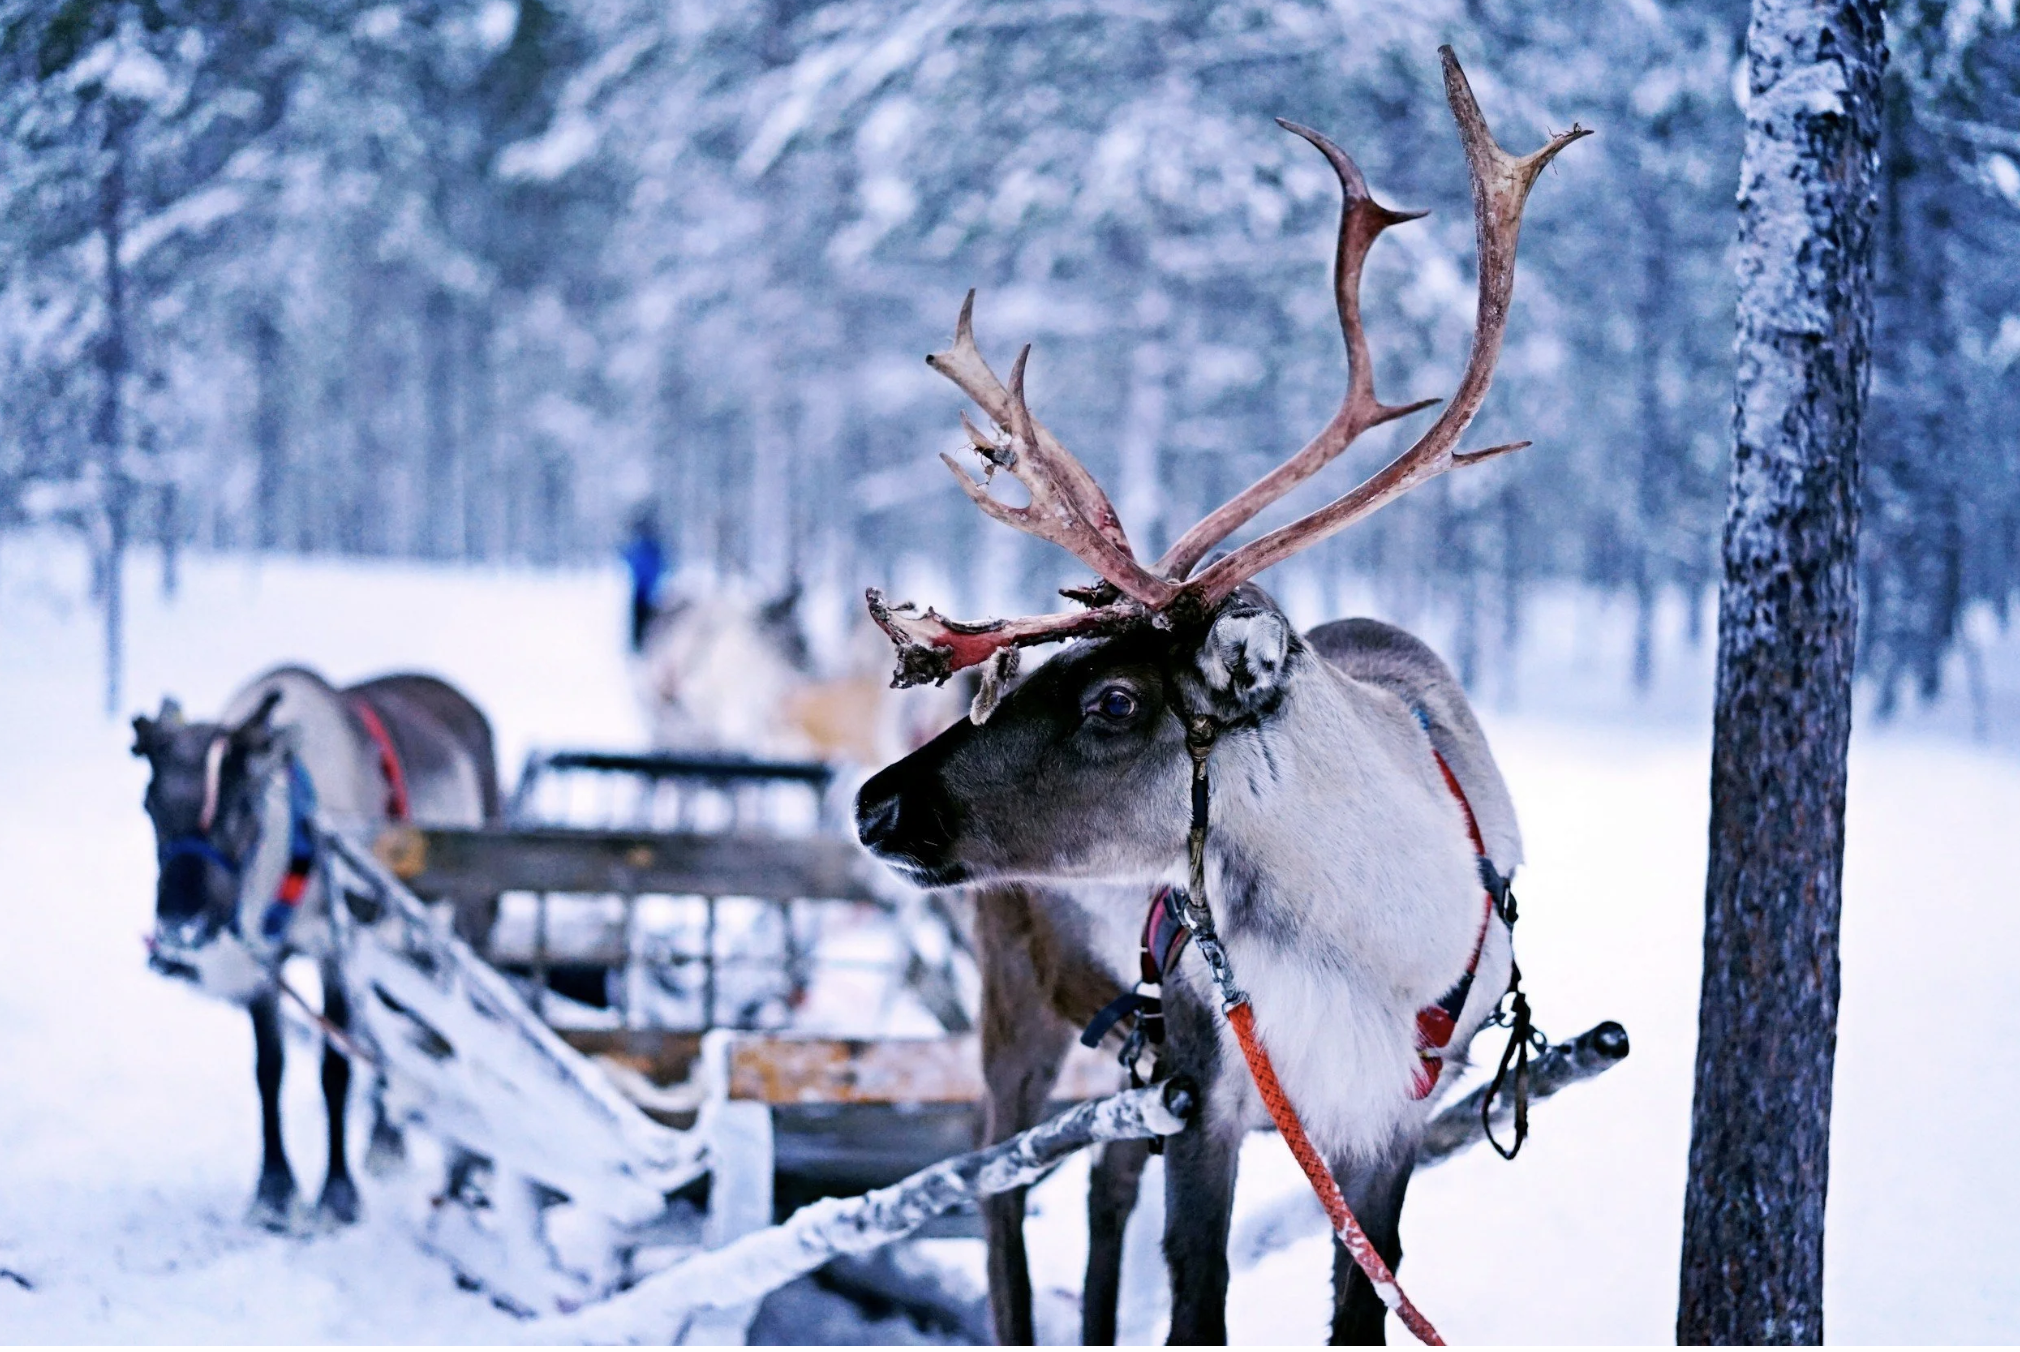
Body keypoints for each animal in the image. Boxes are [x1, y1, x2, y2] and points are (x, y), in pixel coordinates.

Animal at [854, 49, 1586, 1345]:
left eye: (1111, 700)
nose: (873, 803)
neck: (1367, 942)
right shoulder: (1211, 1082)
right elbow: (1198, 1290)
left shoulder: (1386, 1111)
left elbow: (1365, 1295)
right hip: (1016, 1003)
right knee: (997, 1179)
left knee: (1096, 1179)